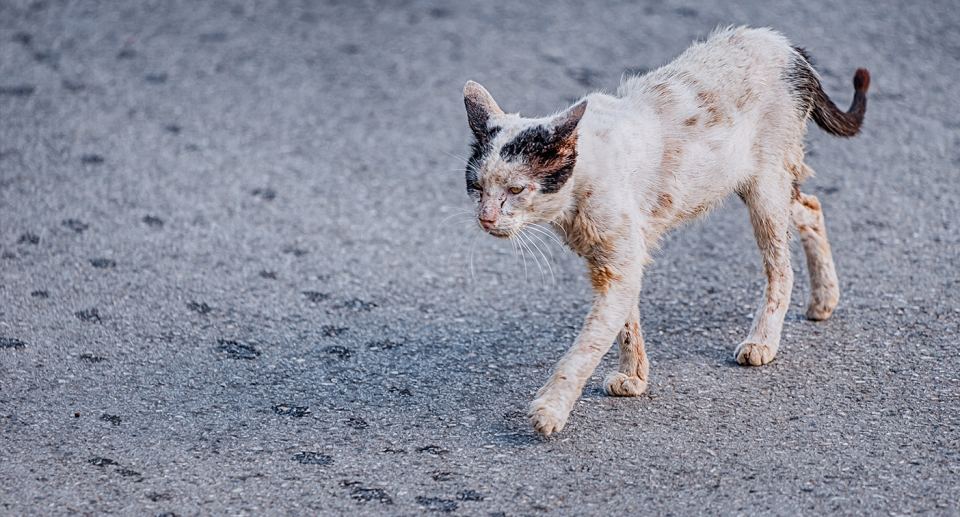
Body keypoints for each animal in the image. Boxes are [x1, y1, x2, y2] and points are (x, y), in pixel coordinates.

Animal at [462, 26, 868, 434]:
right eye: (476, 187)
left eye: (516, 190)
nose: (485, 218)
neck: (580, 187)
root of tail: (784, 45)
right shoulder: (619, 262)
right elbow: (626, 324)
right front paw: (635, 377)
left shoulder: (618, 264)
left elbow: (586, 346)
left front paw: (551, 408)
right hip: (758, 183)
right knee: (811, 206)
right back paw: (824, 299)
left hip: (766, 188)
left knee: (781, 267)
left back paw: (763, 341)